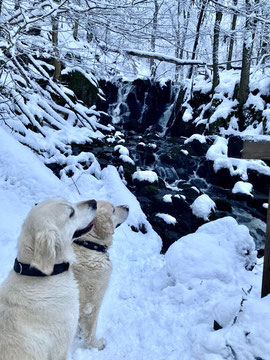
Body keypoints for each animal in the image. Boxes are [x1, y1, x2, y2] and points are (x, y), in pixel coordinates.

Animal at [72, 200, 129, 348]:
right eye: (113, 210)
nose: (127, 207)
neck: (88, 245)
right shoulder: (93, 303)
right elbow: (91, 331)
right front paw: (96, 345)